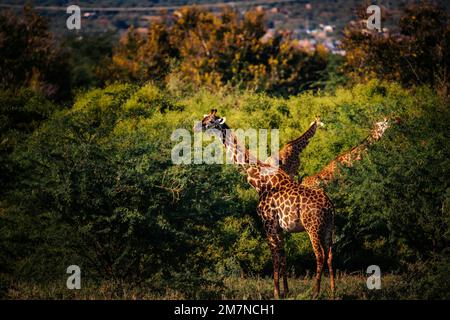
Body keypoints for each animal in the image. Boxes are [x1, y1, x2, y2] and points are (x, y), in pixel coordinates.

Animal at [195, 110, 336, 300]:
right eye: (204, 117)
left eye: (210, 121)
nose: (197, 126)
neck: (259, 182)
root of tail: (329, 207)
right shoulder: (279, 227)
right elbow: (283, 256)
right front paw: (286, 291)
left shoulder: (268, 223)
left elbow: (275, 256)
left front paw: (276, 293)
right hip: (329, 227)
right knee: (330, 255)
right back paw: (333, 291)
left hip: (312, 226)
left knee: (319, 255)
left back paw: (315, 292)